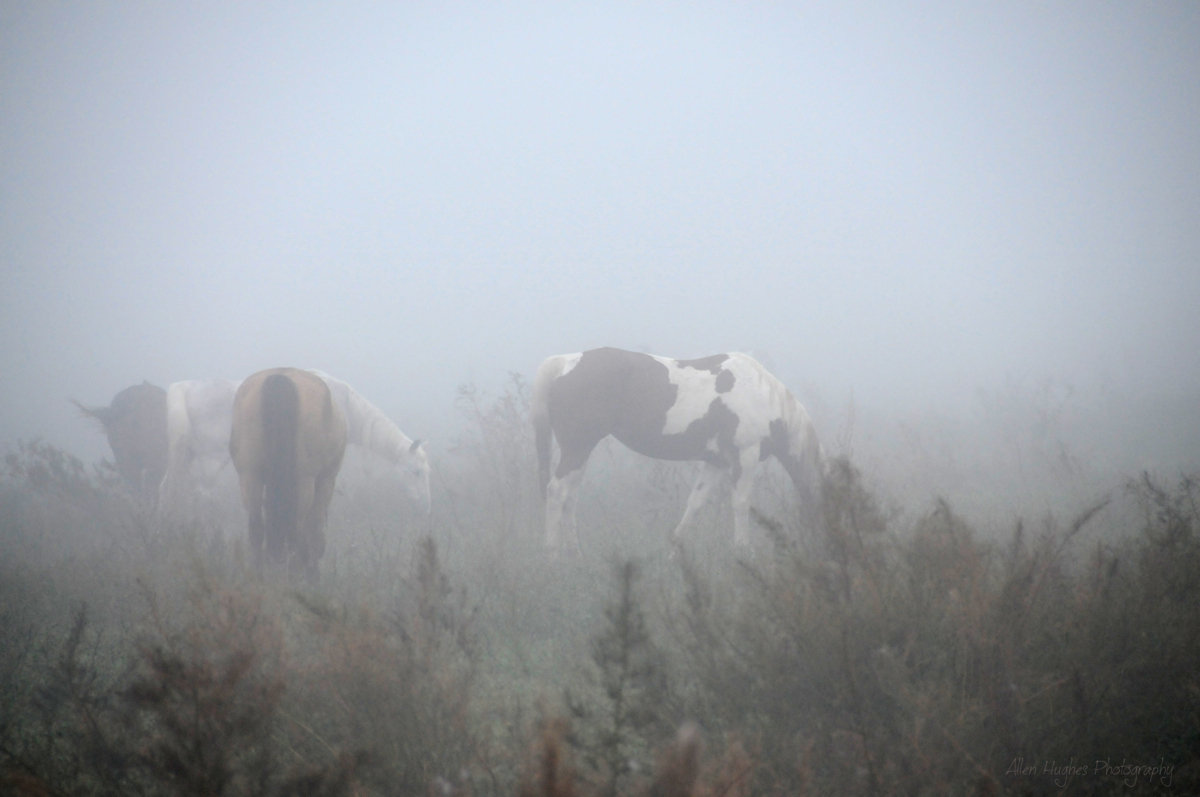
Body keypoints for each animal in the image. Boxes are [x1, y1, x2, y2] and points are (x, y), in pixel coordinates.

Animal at [229, 367, 345, 578]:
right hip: (304, 480)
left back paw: (258, 575)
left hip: (250, 476)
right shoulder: (326, 480)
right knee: (296, 529)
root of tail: (280, 376)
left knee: (256, 527)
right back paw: (294, 574)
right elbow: (314, 529)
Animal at [535, 348, 825, 554]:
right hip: (577, 448)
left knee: (570, 497)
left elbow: (695, 503)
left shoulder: (717, 463)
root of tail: (564, 364)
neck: (762, 396)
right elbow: (741, 504)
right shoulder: (745, 456)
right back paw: (553, 556)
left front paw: (675, 549)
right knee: (556, 492)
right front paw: (743, 551)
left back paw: (576, 554)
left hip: (582, 451)